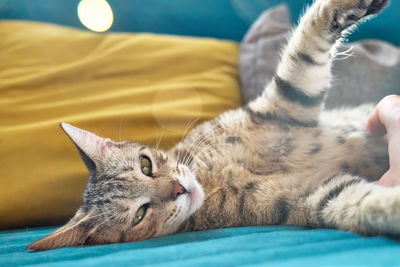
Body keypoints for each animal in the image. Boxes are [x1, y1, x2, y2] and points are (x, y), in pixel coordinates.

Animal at [28, 0, 394, 252]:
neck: (212, 177)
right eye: (140, 215)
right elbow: (358, 202)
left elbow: (307, 37)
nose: (178, 188)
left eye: (145, 165)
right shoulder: (304, 195)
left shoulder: (283, 104)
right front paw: (391, 207)